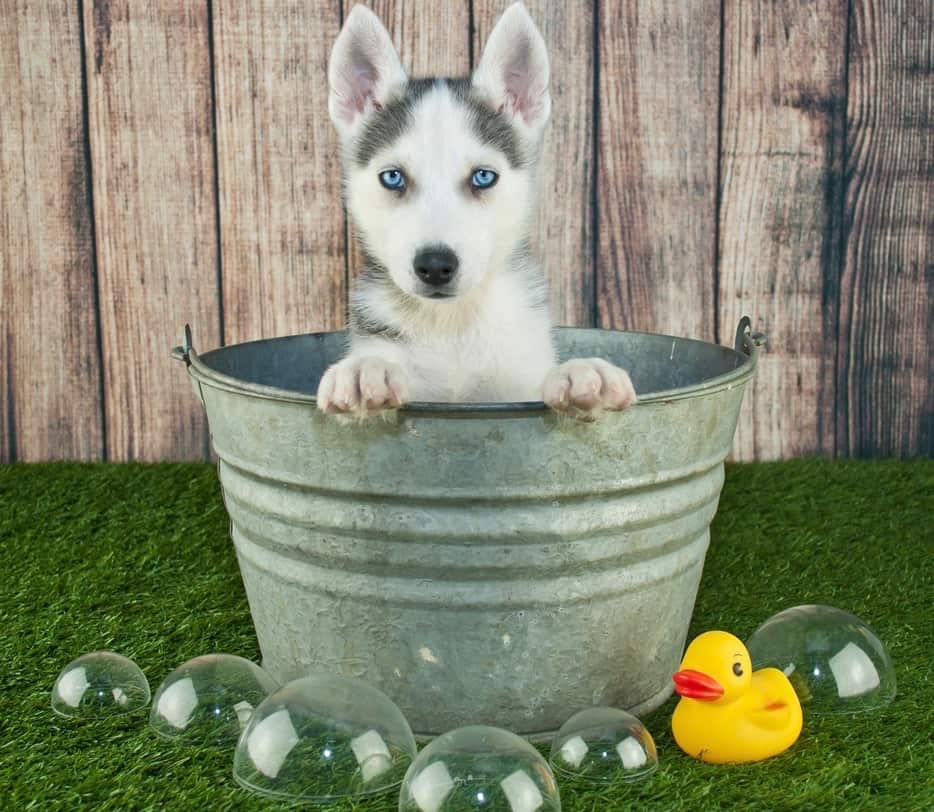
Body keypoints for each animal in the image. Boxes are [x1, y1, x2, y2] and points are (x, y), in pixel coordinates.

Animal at [318, 1, 640, 418]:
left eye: (484, 177)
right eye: (392, 177)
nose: (435, 265)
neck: (452, 325)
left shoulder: (517, 378)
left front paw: (580, 372)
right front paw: (364, 370)